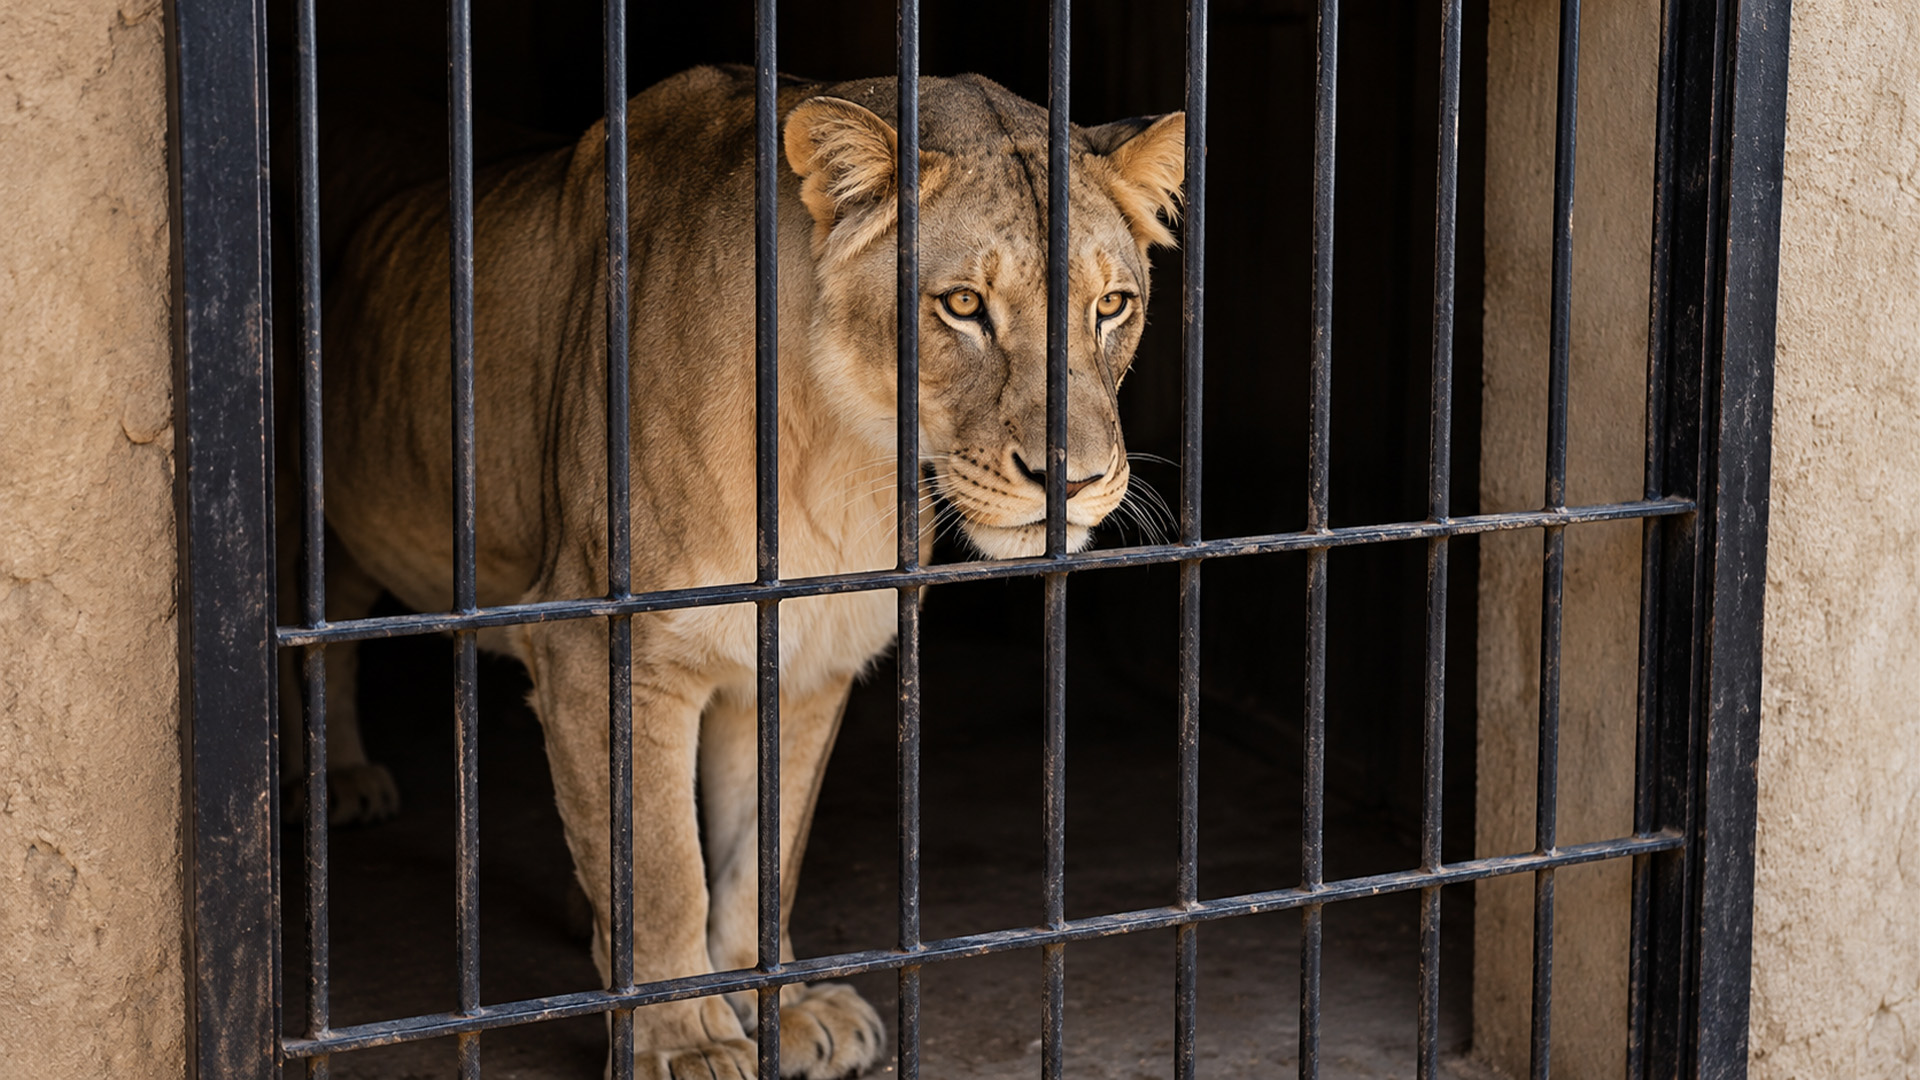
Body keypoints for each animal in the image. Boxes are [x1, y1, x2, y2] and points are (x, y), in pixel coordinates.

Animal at [297, 65, 1184, 1079]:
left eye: (1111, 306)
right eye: (962, 306)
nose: (1071, 480)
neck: (840, 454)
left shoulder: (803, 657)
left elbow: (764, 851)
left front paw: (784, 1007)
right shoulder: (601, 646)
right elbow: (665, 870)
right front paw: (685, 1040)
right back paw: (343, 781)